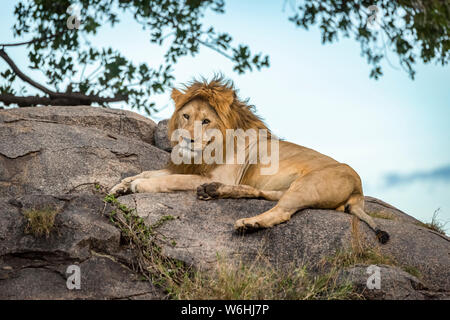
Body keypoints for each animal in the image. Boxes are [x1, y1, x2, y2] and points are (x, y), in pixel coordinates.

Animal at [110, 76, 390, 244]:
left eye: (206, 121)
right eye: (186, 116)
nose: (188, 140)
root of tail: (359, 189)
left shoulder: (213, 173)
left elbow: (170, 181)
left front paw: (138, 186)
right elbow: (149, 172)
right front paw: (122, 185)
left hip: (307, 185)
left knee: (281, 212)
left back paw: (249, 223)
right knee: (261, 194)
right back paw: (213, 192)